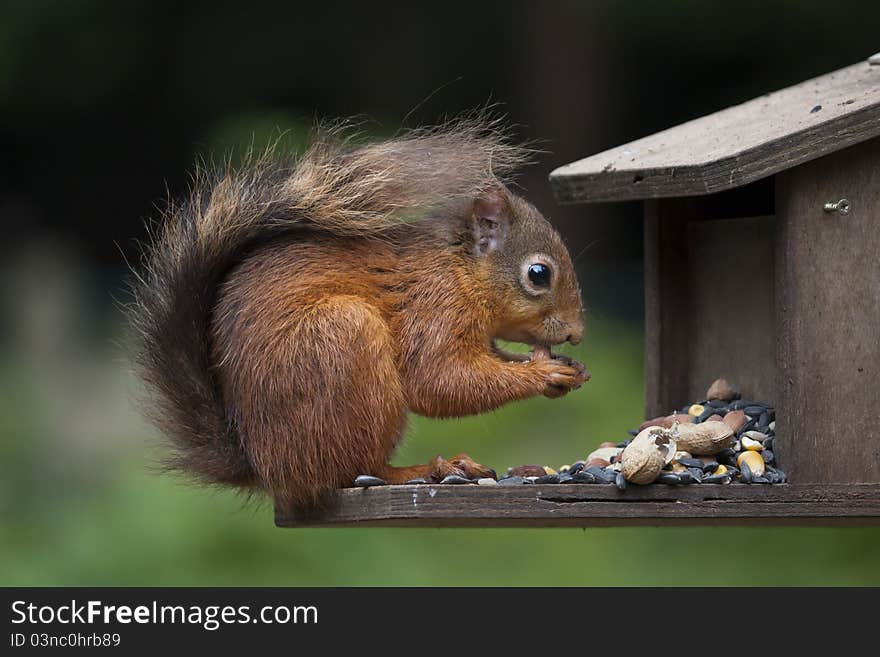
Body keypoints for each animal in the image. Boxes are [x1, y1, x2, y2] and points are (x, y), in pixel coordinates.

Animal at [131, 120, 588, 516]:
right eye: (539, 274)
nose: (577, 334)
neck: (457, 269)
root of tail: (266, 467)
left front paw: (567, 369)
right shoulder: (433, 308)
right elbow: (439, 379)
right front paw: (544, 373)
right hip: (344, 341)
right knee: (354, 471)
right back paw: (428, 469)